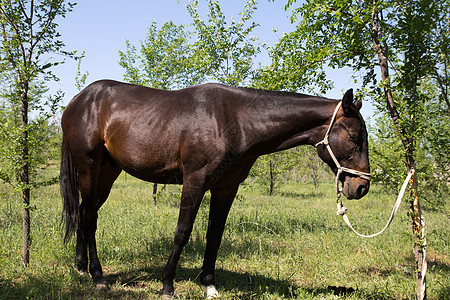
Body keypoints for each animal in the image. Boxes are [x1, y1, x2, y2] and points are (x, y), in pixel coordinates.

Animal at [59, 79, 370, 298]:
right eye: (355, 136)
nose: (362, 186)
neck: (237, 121)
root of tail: (79, 100)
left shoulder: (225, 188)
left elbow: (215, 235)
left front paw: (209, 285)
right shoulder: (194, 182)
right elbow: (182, 232)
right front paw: (167, 285)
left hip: (108, 172)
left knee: (86, 212)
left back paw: (81, 266)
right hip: (88, 166)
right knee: (89, 217)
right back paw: (98, 277)